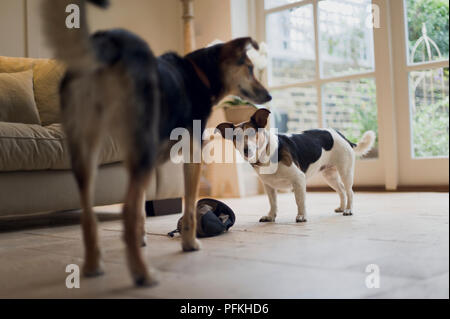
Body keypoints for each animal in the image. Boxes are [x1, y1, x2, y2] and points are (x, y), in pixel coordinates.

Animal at [41, 0, 270, 288]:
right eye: (250, 68)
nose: (269, 96)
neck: (198, 74)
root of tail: (106, 45)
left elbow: (141, 208)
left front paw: (141, 240)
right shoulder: (192, 153)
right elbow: (189, 208)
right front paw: (189, 243)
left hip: (85, 148)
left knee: (89, 214)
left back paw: (94, 265)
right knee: (126, 211)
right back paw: (142, 273)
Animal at [216, 109, 374, 224]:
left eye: (252, 133)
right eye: (235, 138)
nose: (246, 150)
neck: (267, 154)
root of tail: (342, 136)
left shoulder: (298, 179)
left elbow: (299, 201)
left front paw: (302, 216)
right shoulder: (269, 186)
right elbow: (272, 203)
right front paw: (271, 216)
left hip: (345, 171)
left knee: (349, 191)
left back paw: (348, 210)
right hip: (329, 175)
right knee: (341, 190)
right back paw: (342, 207)